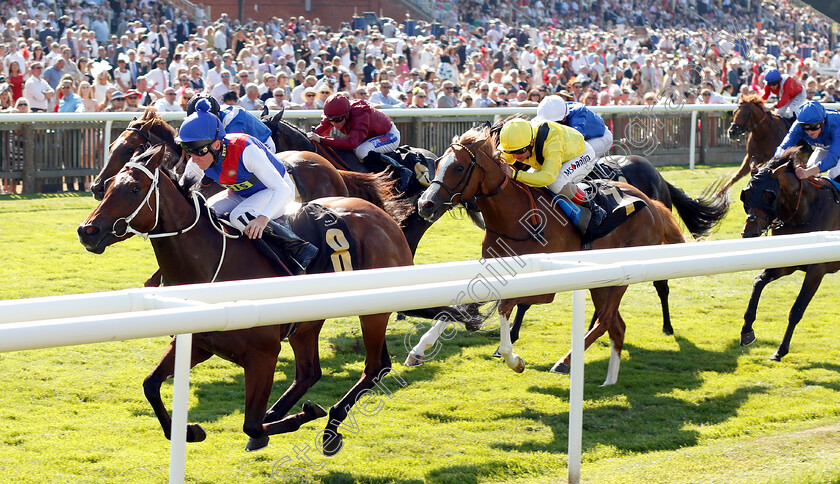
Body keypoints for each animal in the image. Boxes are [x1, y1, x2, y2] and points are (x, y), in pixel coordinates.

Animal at [80, 146, 486, 452]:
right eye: (110, 185)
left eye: (133, 190)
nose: (88, 231)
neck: (214, 264)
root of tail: (382, 216)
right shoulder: (198, 342)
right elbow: (151, 384)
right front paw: (190, 430)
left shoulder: (262, 354)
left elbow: (250, 425)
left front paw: (304, 416)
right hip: (307, 322)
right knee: (310, 372)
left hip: (371, 311)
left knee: (375, 368)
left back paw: (329, 424)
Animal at [412, 122, 688, 386]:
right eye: (437, 163)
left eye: (459, 168)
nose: (425, 204)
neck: (516, 218)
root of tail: (654, 205)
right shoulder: (493, 270)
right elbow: (461, 304)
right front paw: (419, 349)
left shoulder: (544, 288)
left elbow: (505, 306)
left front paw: (512, 358)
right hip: (601, 282)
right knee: (616, 325)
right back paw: (608, 379)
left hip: (622, 276)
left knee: (608, 319)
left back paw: (565, 362)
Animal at [740, 147, 840, 360]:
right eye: (746, 194)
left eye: (768, 195)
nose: (748, 233)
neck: (803, 212)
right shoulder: (786, 263)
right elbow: (758, 282)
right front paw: (747, 331)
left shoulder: (817, 270)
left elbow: (797, 310)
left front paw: (780, 350)